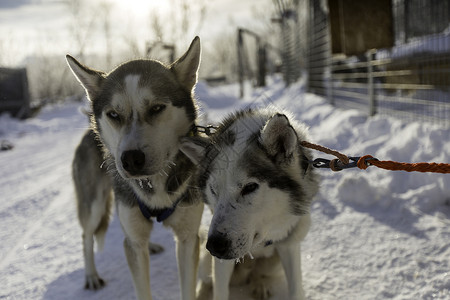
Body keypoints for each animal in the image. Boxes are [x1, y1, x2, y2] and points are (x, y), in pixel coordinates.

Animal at [67, 36, 204, 298]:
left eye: (157, 108)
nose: (130, 159)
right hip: (95, 204)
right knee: (87, 235)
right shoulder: (133, 242)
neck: (155, 185)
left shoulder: (188, 237)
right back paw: (91, 276)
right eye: (113, 114)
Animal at [180, 108, 320, 300]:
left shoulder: (289, 244)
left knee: (258, 274)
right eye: (214, 190)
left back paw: (260, 284)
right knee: (207, 281)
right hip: (206, 261)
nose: (215, 246)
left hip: (274, 264)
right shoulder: (221, 261)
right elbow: (220, 291)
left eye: (250, 187)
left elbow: (296, 290)